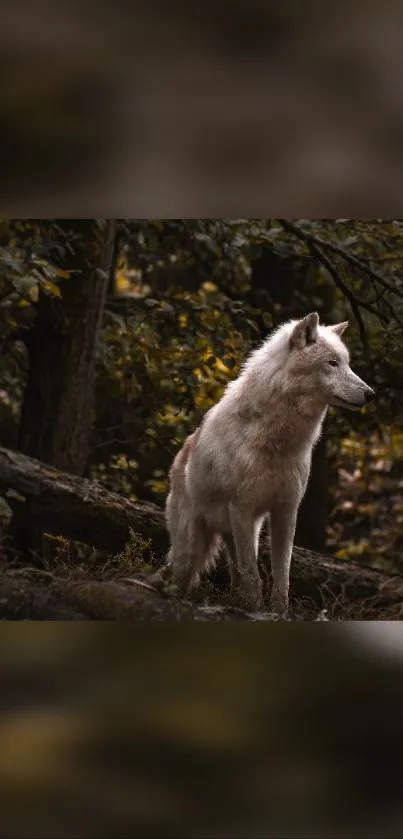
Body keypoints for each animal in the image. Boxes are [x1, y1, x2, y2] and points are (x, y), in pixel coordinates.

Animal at [165, 312, 376, 612]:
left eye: (347, 363)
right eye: (332, 363)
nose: (371, 394)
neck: (278, 444)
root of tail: (179, 458)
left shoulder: (286, 510)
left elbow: (281, 576)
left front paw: (278, 612)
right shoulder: (241, 507)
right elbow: (253, 577)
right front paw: (255, 608)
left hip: (242, 532)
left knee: (236, 574)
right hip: (192, 547)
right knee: (183, 575)